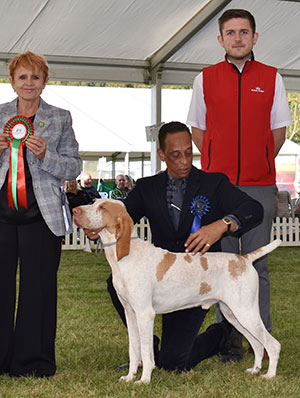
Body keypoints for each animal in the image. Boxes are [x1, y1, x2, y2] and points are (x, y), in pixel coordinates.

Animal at [72, 199, 282, 382]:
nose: (74, 210)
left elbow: (146, 352)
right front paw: (130, 377)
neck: (126, 256)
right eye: (93, 202)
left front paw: (144, 380)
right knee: (258, 344)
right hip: (232, 314)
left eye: (103, 208)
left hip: (245, 311)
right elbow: (134, 350)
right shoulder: (130, 313)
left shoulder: (144, 313)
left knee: (272, 344)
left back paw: (269, 375)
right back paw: (255, 370)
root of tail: (244, 259)